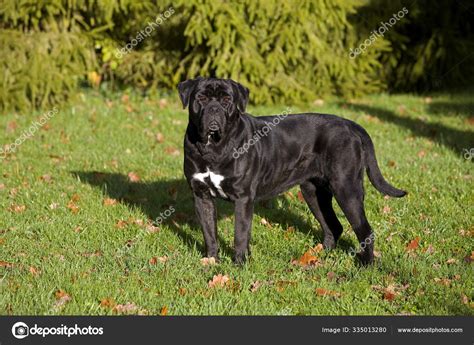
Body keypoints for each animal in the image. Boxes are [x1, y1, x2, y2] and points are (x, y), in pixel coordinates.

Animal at [176, 77, 406, 264]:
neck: (212, 147)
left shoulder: (243, 198)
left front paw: (239, 264)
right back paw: (318, 256)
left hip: (346, 189)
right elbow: (209, 233)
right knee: (333, 225)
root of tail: (350, 124)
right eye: (201, 98)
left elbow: (240, 234)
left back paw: (365, 264)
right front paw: (211, 261)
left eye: (226, 100)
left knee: (365, 230)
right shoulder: (201, 196)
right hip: (313, 192)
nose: (214, 109)